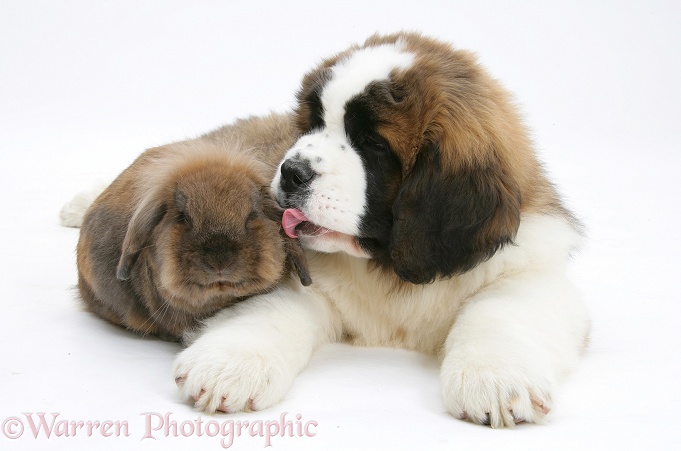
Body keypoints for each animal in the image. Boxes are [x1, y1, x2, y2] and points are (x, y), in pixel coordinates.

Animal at [173, 31, 588, 428]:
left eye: (373, 142)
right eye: (314, 122)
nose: (291, 172)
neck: (389, 266)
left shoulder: (530, 271)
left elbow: (498, 310)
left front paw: (495, 378)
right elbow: (273, 309)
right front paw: (228, 362)